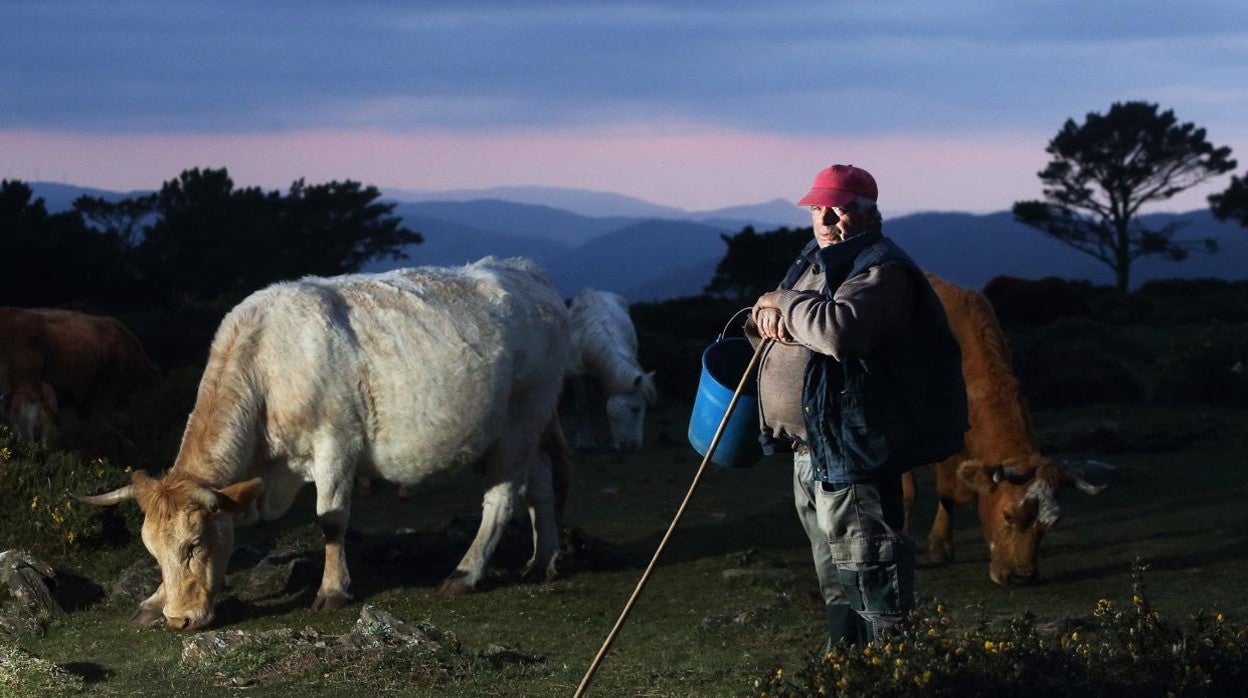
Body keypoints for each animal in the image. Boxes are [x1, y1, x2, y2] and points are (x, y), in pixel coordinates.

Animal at [73, 259, 571, 631]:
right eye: (153, 551)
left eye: (194, 544)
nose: (181, 620)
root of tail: (525, 271)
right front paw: (153, 601)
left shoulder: (336, 445)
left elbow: (330, 520)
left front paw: (332, 589)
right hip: (527, 429)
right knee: (541, 486)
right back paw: (541, 561)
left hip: (520, 422)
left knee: (502, 499)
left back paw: (465, 573)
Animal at [569, 290, 658, 449]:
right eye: (636, 409)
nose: (635, 446)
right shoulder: (578, 374)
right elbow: (583, 405)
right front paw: (584, 441)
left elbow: (601, 404)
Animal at [908, 275, 1103, 586]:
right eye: (1009, 515)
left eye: (1051, 523)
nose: (1021, 576)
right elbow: (908, 492)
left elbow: (948, 494)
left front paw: (940, 545)